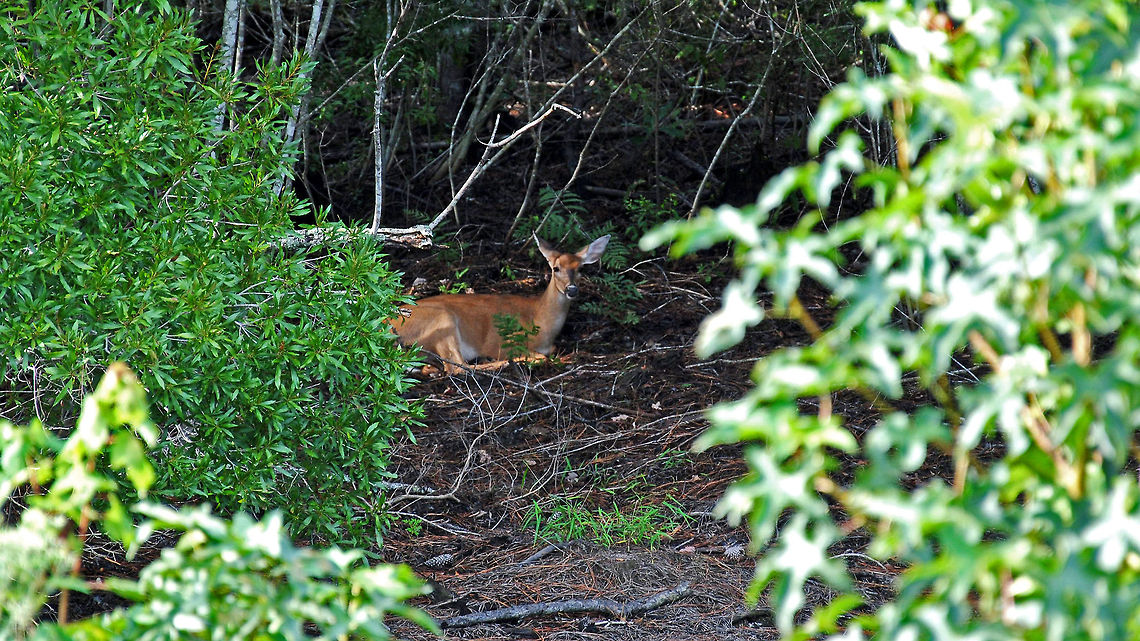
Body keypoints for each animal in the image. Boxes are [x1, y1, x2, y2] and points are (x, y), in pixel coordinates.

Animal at [389, 234, 610, 374]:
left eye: (581, 268)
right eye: (556, 268)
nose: (571, 290)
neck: (540, 320)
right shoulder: (502, 340)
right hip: (443, 321)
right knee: (457, 368)